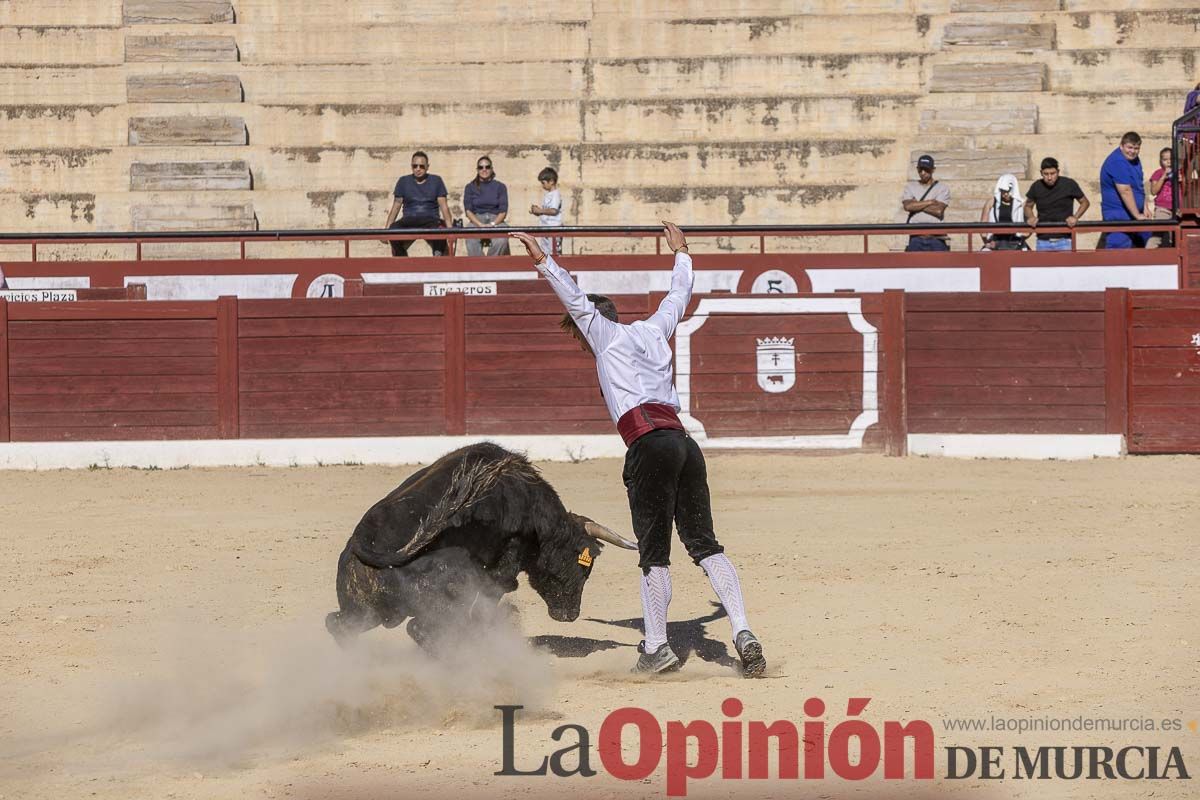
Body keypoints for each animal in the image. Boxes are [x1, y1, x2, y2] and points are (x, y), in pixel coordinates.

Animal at [324, 443, 633, 652]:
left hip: (368, 611)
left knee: (338, 624)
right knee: (422, 628)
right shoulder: (506, 560)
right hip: (442, 600)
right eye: (583, 566)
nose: (570, 615)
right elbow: (494, 592)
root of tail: (363, 539)